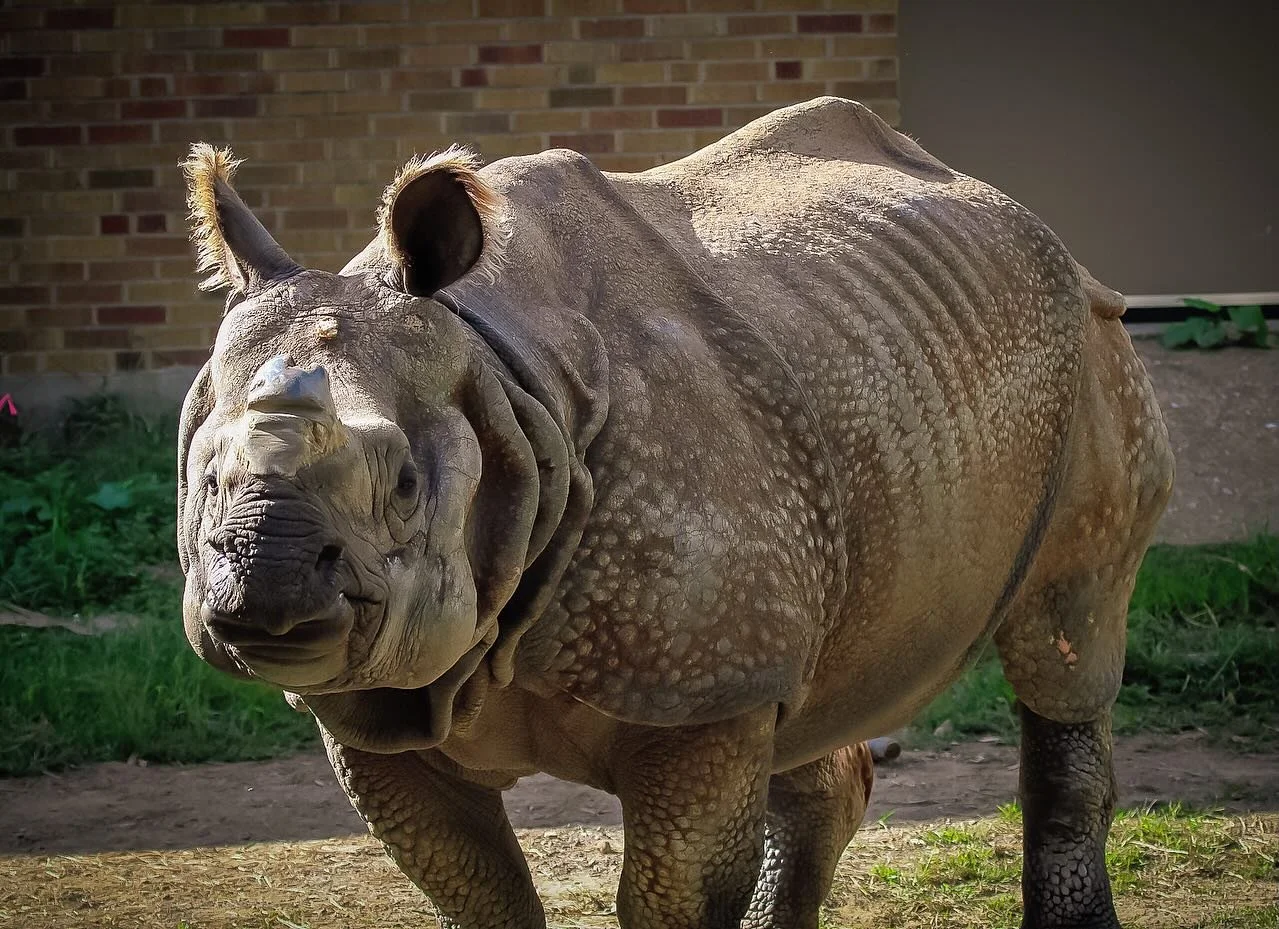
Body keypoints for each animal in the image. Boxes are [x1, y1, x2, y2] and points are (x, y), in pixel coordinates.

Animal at [177, 97, 1173, 928]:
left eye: (405, 487)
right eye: (204, 479)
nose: (263, 589)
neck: (497, 374)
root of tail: (1026, 218)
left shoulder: (700, 689)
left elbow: (675, 895)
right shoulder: (382, 703)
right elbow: (474, 890)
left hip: (1092, 353)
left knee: (1066, 632)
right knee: (813, 690)